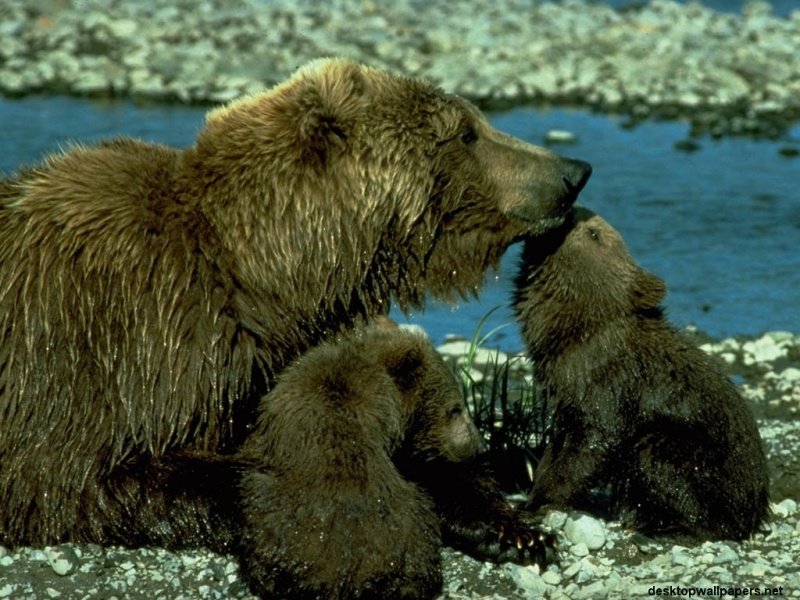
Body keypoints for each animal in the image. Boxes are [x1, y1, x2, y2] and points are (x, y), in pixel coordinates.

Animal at [513, 208, 770, 541]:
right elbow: (557, 442)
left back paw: (662, 525)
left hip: (708, 464)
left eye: (595, 233)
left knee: (659, 455)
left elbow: (595, 441)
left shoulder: (610, 383)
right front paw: (532, 494)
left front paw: (541, 501)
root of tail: (758, 508)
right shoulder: (562, 389)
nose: (574, 210)